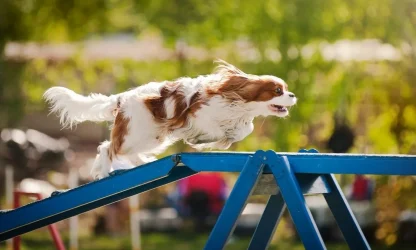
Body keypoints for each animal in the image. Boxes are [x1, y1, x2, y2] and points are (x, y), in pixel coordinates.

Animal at [44, 59, 298, 179]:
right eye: (277, 91)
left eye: (286, 89)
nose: (293, 95)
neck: (237, 101)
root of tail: (121, 98)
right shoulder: (199, 115)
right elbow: (217, 129)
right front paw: (203, 141)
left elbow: (243, 130)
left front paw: (222, 139)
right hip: (138, 134)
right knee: (108, 147)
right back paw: (106, 172)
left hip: (153, 137)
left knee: (127, 152)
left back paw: (143, 162)